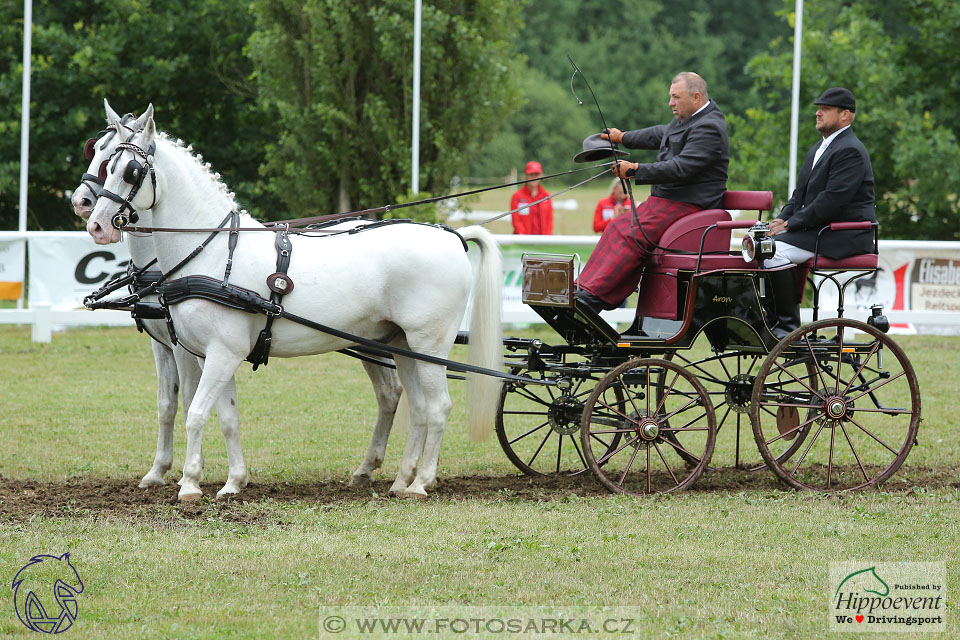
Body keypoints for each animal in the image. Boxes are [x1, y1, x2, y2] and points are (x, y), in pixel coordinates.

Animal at [87, 104, 502, 500]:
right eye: (105, 162)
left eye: (131, 171)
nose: (96, 223)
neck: (216, 252)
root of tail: (451, 236)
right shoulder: (214, 354)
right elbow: (226, 417)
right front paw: (233, 482)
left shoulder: (219, 352)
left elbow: (196, 412)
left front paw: (189, 484)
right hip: (402, 344)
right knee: (416, 407)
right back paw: (401, 481)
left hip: (429, 344)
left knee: (438, 407)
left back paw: (421, 482)